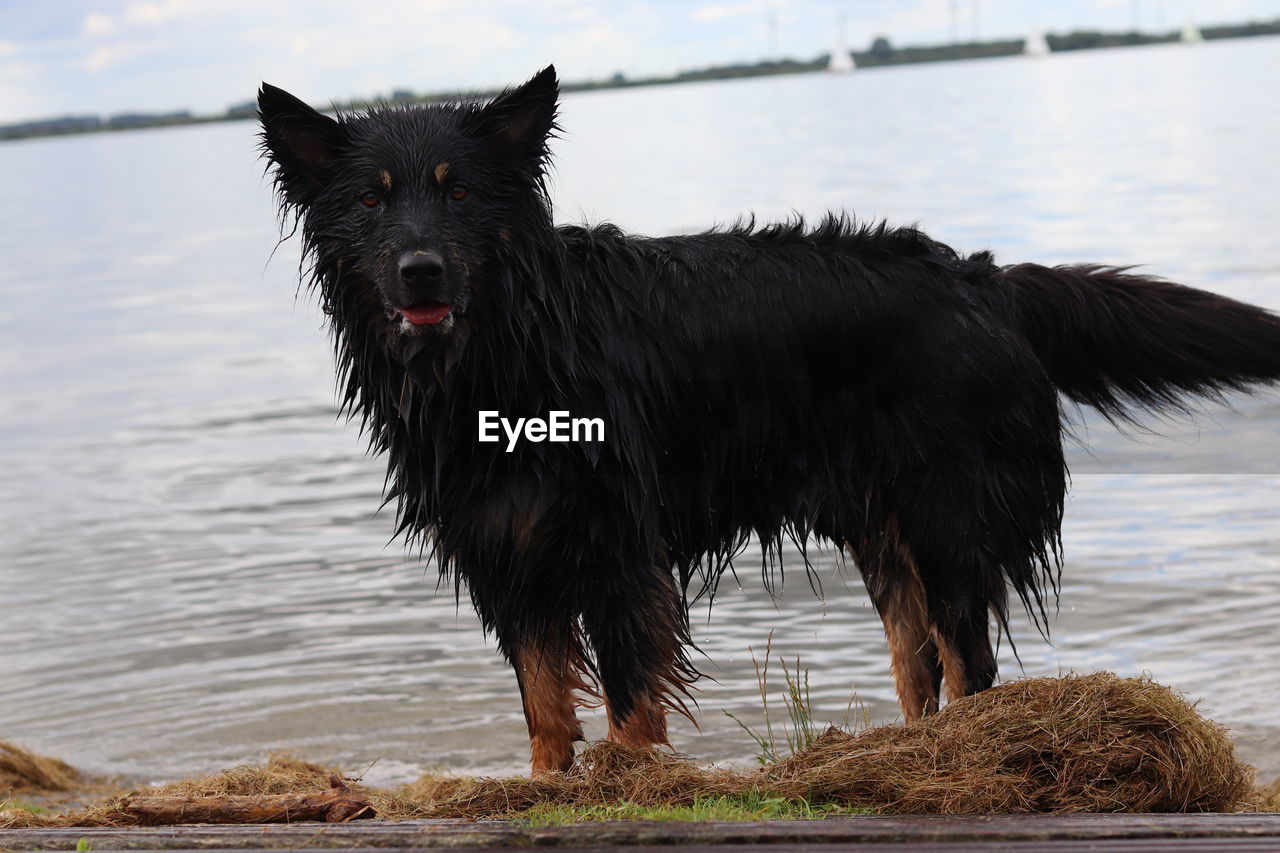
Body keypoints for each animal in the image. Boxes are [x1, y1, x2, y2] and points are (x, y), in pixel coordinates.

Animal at [257, 66, 1280, 768]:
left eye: (460, 191)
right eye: (372, 200)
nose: (420, 269)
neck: (506, 345)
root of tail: (984, 277)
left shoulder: (617, 547)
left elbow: (627, 698)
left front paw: (633, 779)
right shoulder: (504, 549)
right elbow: (544, 706)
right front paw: (549, 785)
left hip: (948, 514)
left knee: (971, 661)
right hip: (883, 529)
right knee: (920, 662)